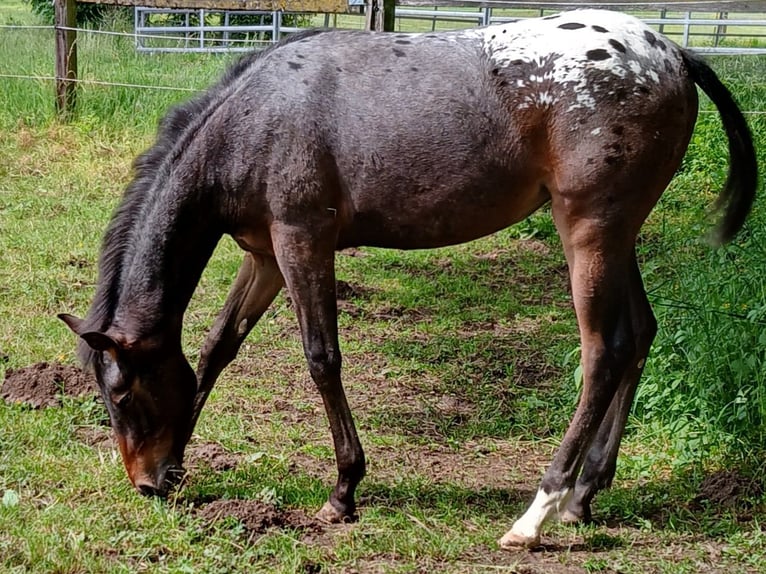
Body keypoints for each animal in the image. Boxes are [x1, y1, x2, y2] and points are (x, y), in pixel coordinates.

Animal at [59, 9, 757, 549]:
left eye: (121, 395)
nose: (148, 483)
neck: (253, 119)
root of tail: (672, 52)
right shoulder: (264, 257)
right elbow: (215, 349)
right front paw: (183, 459)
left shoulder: (302, 242)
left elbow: (322, 358)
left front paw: (344, 489)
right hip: (619, 237)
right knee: (639, 334)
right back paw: (585, 494)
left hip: (590, 232)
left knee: (603, 352)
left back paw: (538, 512)